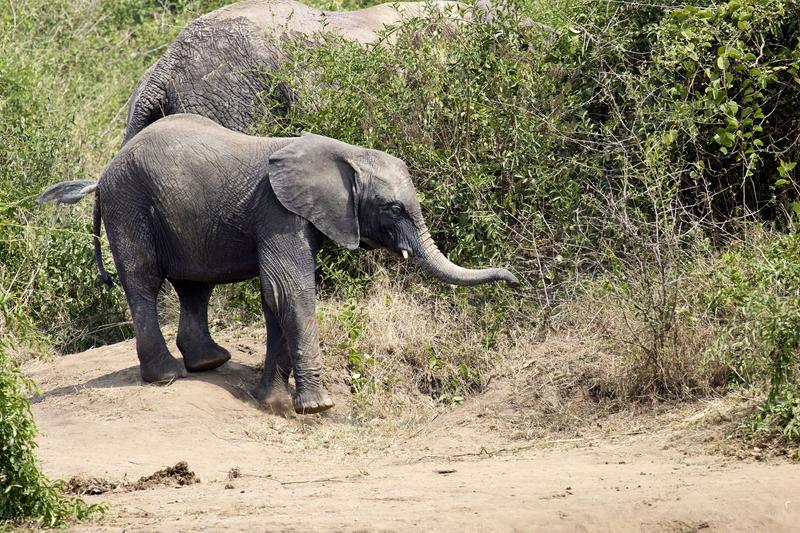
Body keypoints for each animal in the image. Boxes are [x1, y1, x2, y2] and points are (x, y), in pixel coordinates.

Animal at [40, 114, 520, 414]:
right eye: (393, 208)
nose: (514, 281)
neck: (343, 153)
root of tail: (103, 175)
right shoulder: (277, 211)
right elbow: (289, 290)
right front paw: (317, 407)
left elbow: (275, 298)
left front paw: (269, 400)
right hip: (129, 203)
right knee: (143, 282)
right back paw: (166, 376)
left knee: (195, 286)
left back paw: (210, 363)